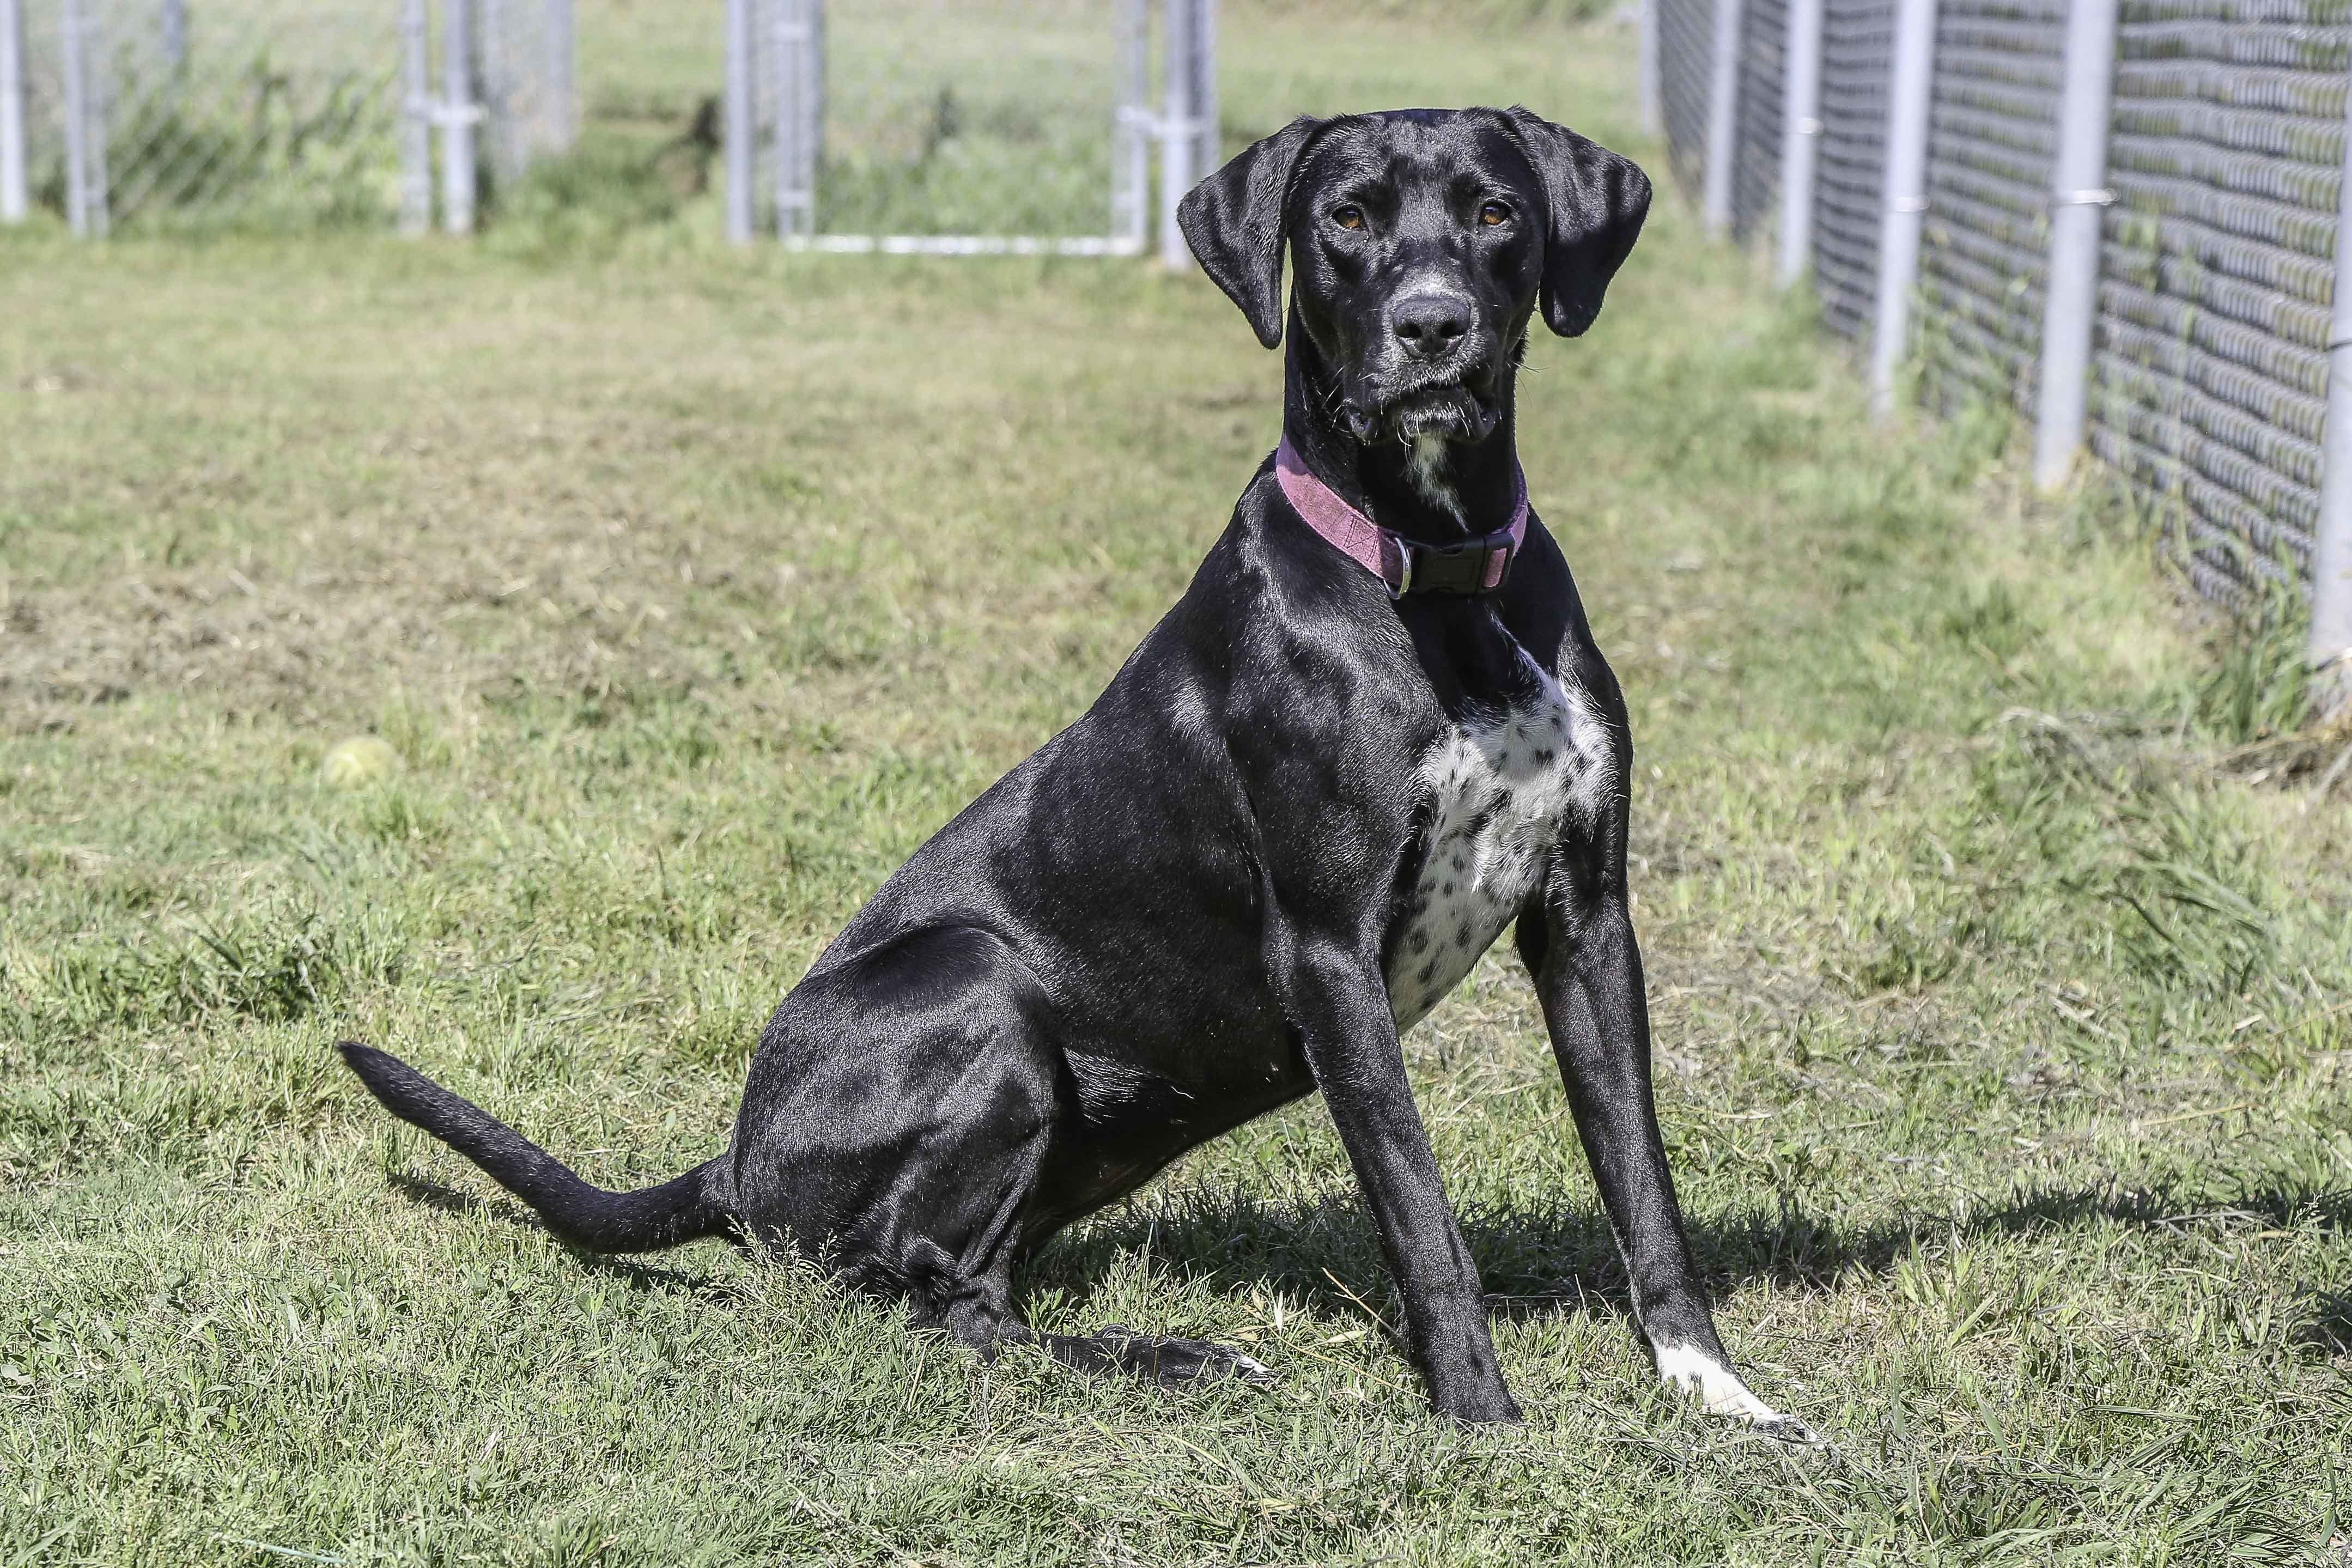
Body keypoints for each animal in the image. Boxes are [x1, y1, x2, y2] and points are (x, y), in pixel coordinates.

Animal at [336, 107, 1797, 1438]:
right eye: (1347, 218)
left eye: (1495, 211)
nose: (1431, 326)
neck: (1436, 582)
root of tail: (732, 1163)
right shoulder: (1329, 953)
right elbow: (1420, 1209)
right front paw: (1481, 1419)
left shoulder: (1586, 919)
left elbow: (1640, 1175)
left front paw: (1712, 1389)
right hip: (979, 985)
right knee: (936, 1301)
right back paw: (1168, 1360)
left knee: (970, 1290)